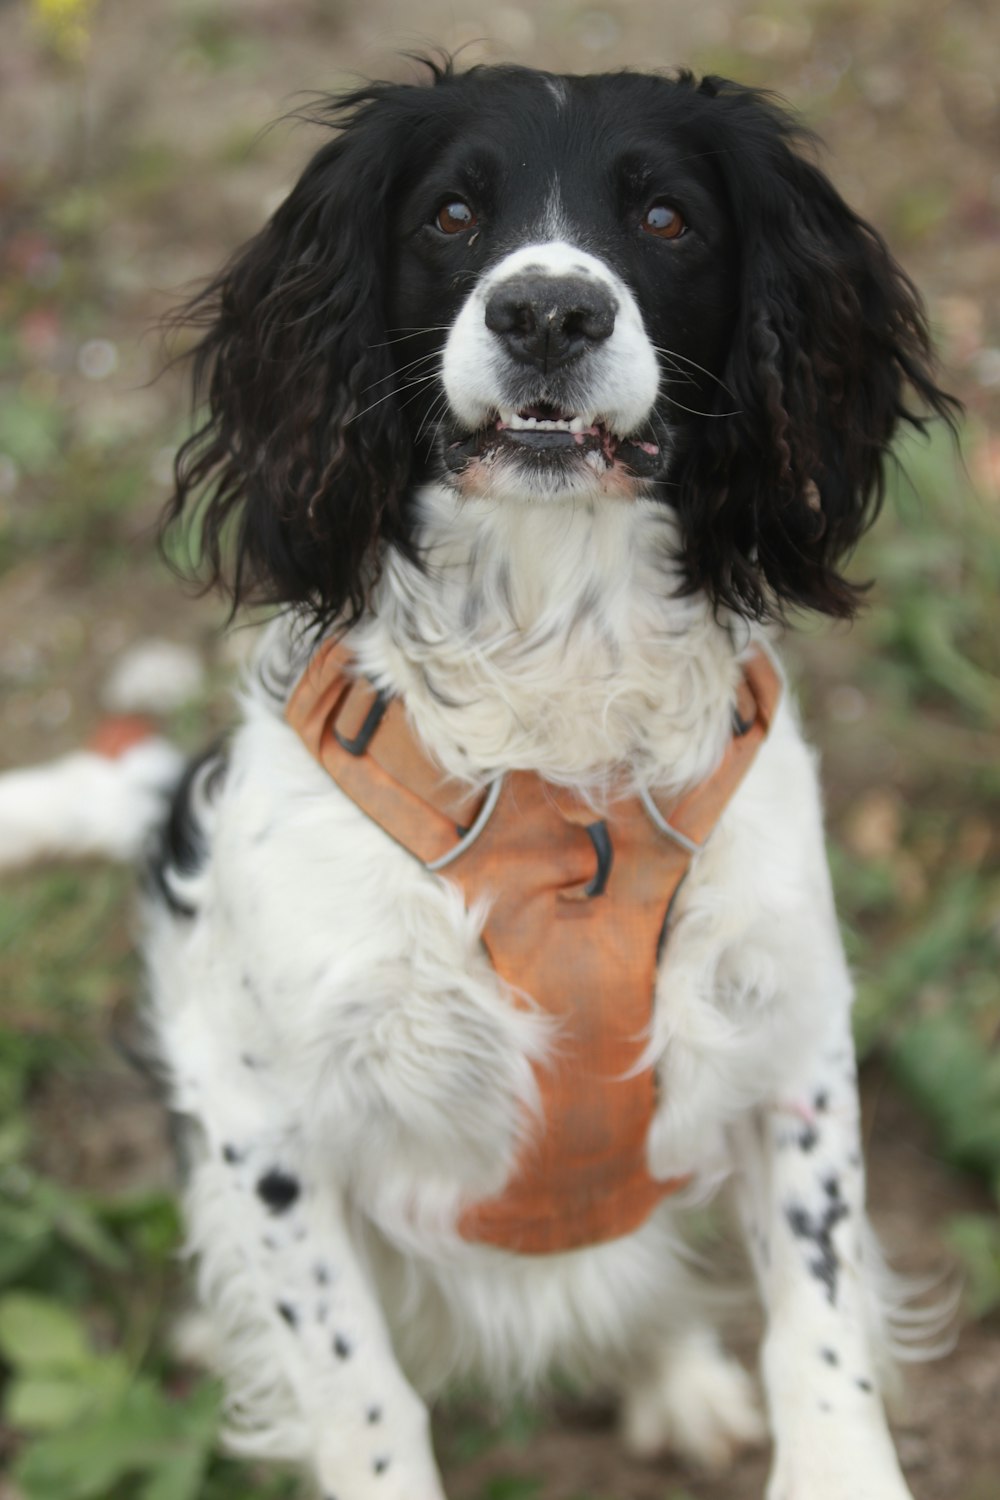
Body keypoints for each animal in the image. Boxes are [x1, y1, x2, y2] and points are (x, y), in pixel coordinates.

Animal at [3, 64, 959, 1500]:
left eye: (667, 218)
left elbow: (820, 1326)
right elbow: (364, 1399)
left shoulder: (790, 1038)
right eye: (451, 214)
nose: (548, 312)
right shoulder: (264, 1121)